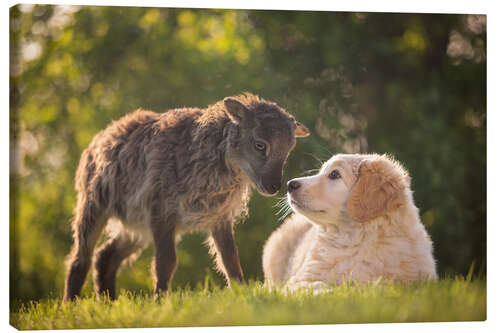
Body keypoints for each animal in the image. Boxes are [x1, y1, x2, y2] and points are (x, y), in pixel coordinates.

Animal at [63, 92, 308, 300]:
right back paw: (71, 304)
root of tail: (101, 136)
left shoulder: (219, 216)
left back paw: (109, 301)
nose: (273, 187)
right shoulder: (161, 211)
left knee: (105, 257)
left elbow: (229, 258)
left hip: (136, 226)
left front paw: (241, 292)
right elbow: (166, 261)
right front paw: (160, 300)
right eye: (260, 145)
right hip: (93, 204)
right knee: (80, 258)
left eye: (288, 150)